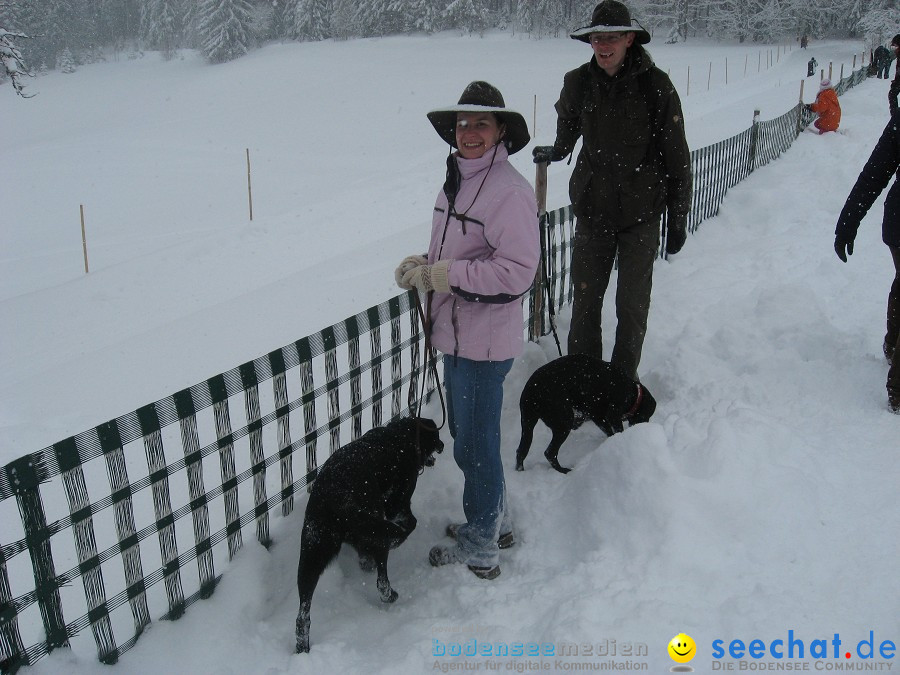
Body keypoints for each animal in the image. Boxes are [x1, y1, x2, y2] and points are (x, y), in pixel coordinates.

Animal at [296, 418, 442, 656]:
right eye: (436, 436)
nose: (443, 445)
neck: (402, 437)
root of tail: (338, 499)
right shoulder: (397, 505)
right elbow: (411, 522)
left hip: (312, 552)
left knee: (303, 616)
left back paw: (302, 647)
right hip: (374, 525)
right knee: (382, 581)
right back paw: (390, 593)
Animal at [516, 354, 656, 476]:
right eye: (646, 416)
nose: (645, 425)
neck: (633, 393)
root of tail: (531, 391)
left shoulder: (598, 416)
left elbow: (608, 431)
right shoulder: (613, 414)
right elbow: (617, 430)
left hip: (528, 424)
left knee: (521, 451)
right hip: (564, 422)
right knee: (549, 453)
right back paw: (563, 470)